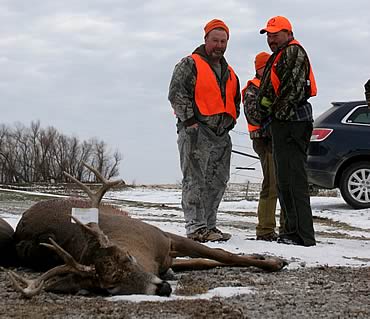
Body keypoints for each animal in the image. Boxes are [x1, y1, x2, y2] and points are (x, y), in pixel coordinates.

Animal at [6, 164, 290, 298]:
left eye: (128, 258)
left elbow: (221, 254)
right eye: (109, 287)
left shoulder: (164, 236)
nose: (162, 288)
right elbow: (206, 260)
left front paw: (275, 262)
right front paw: (269, 260)